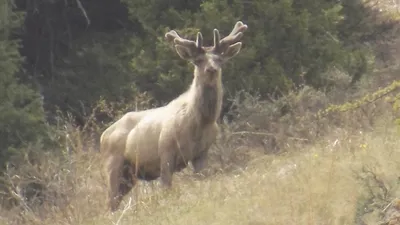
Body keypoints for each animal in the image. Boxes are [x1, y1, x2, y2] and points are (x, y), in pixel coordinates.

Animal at [101, 20, 247, 211]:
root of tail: (102, 137)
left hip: (130, 174)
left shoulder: (202, 153)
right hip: (113, 164)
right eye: (198, 60)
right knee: (109, 201)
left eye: (220, 59)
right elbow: (166, 188)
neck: (200, 123)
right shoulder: (165, 151)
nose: (212, 69)